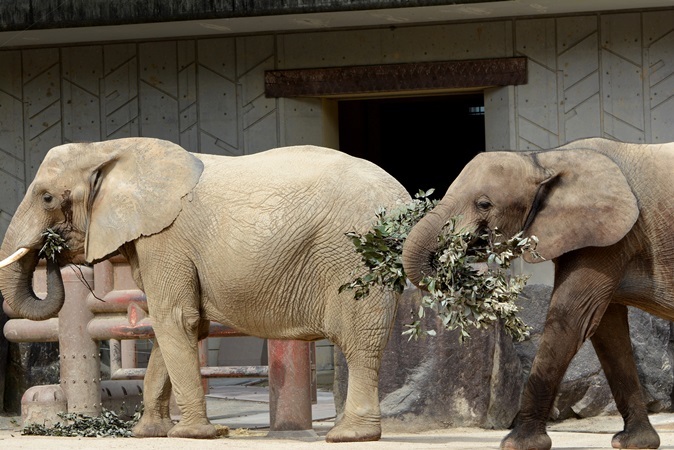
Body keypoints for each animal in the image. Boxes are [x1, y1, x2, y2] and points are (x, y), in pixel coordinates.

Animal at [0, 136, 410, 440]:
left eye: (47, 197)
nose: (51, 250)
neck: (111, 148)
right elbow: (181, 326)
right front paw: (148, 433)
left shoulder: (165, 239)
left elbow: (174, 319)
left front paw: (191, 434)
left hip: (356, 255)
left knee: (359, 341)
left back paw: (350, 436)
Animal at [400, 137, 668, 450]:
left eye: (483, 204)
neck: (544, 159)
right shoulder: (600, 236)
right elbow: (607, 331)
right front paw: (633, 443)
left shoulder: (610, 237)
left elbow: (571, 319)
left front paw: (517, 444)